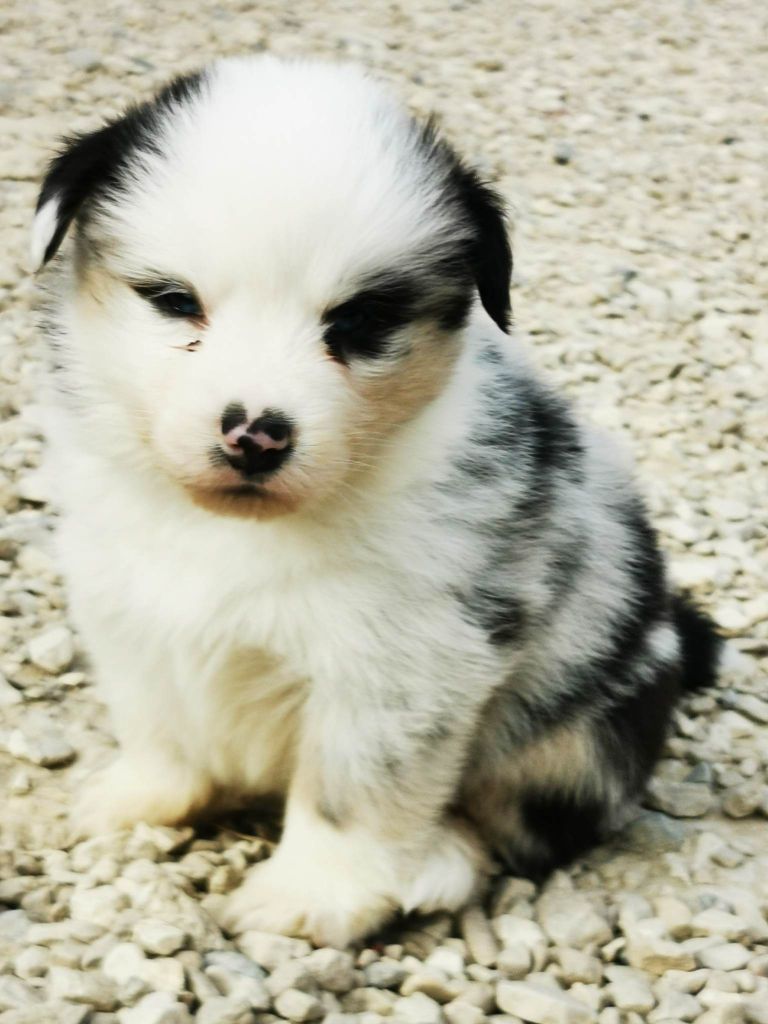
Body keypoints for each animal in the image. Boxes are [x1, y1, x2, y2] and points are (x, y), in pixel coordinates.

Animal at [31, 55, 721, 946]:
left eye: (359, 320)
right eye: (175, 300)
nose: (255, 434)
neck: (238, 532)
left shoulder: (401, 666)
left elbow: (350, 793)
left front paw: (310, 895)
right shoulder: (128, 605)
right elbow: (158, 726)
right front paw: (135, 801)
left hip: (576, 736)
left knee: (514, 828)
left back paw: (436, 866)